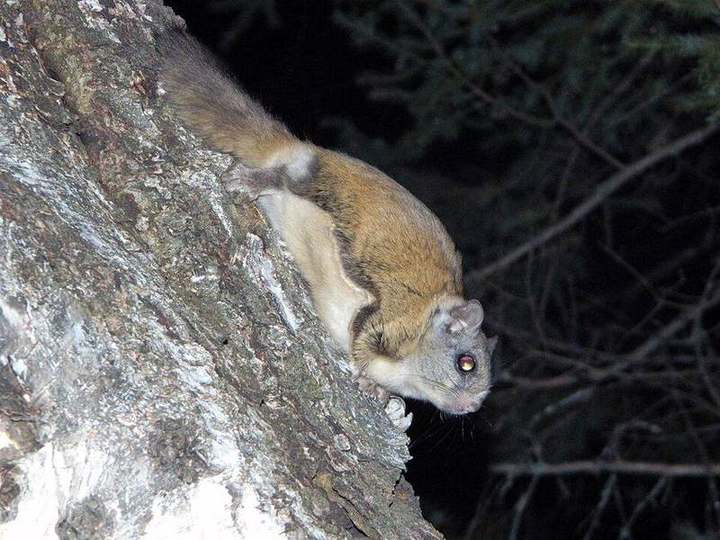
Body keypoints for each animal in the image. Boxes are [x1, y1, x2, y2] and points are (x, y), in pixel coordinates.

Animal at [158, 31, 497, 415]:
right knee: (281, 179)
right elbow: (361, 339)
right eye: (466, 363)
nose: (472, 406)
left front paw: (382, 393)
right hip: (318, 188)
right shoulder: (393, 319)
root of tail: (301, 150)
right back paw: (252, 181)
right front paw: (366, 379)